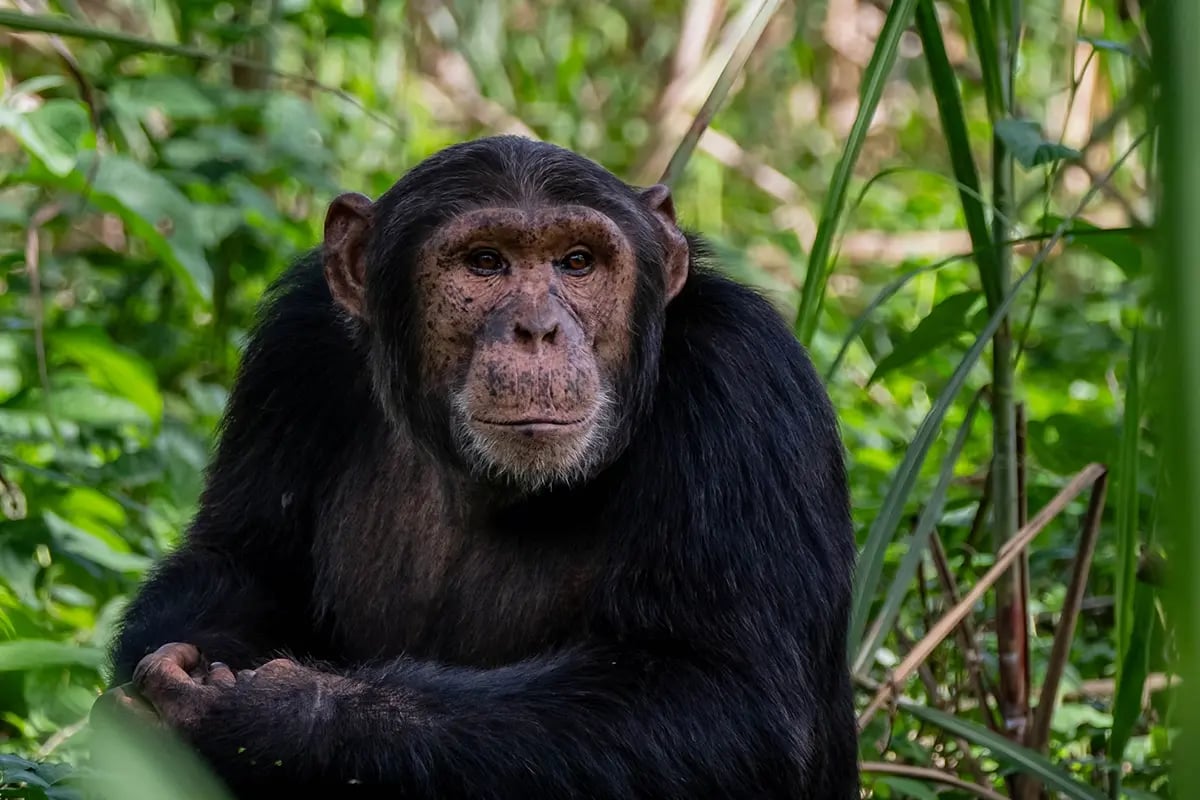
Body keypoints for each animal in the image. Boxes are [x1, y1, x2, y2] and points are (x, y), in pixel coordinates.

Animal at [98, 134, 859, 796]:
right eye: (485, 262)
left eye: (577, 262)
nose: (537, 330)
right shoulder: (295, 343)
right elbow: (240, 558)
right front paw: (191, 665)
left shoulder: (745, 383)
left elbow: (724, 697)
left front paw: (267, 717)